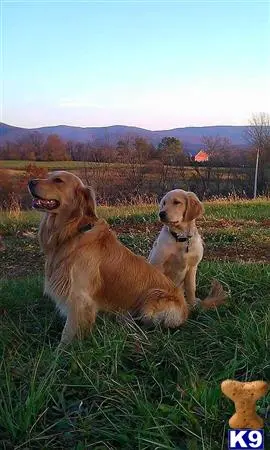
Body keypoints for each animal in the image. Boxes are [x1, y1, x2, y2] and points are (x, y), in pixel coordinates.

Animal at [28, 172, 192, 344]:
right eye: (49, 176)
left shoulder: (79, 299)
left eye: (58, 180)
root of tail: (186, 308)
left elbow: (67, 335)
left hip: (151, 301)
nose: (30, 182)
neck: (72, 231)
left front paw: (61, 351)